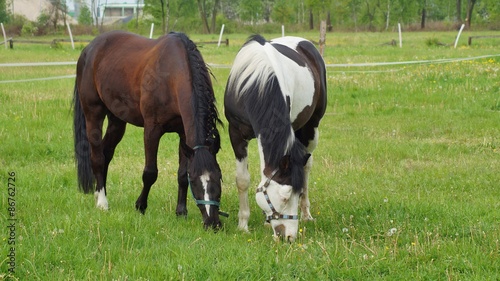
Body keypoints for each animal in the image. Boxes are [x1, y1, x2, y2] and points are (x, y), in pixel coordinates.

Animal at [72, 30, 223, 228]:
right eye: (196, 182)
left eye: (219, 177)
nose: (213, 223)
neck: (171, 75)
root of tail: (88, 49)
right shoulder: (152, 130)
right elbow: (150, 173)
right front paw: (140, 206)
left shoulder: (184, 135)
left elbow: (181, 174)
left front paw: (181, 211)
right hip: (93, 113)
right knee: (97, 157)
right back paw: (102, 203)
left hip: (117, 121)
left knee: (106, 153)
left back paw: (99, 192)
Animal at [224, 34, 326, 241]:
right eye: (285, 196)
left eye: (296, 194)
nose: (289, 237)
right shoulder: (236, 134)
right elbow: (242, 180)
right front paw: (243, 225)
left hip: (311, 128)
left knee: (307, 167)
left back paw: (307, 214)